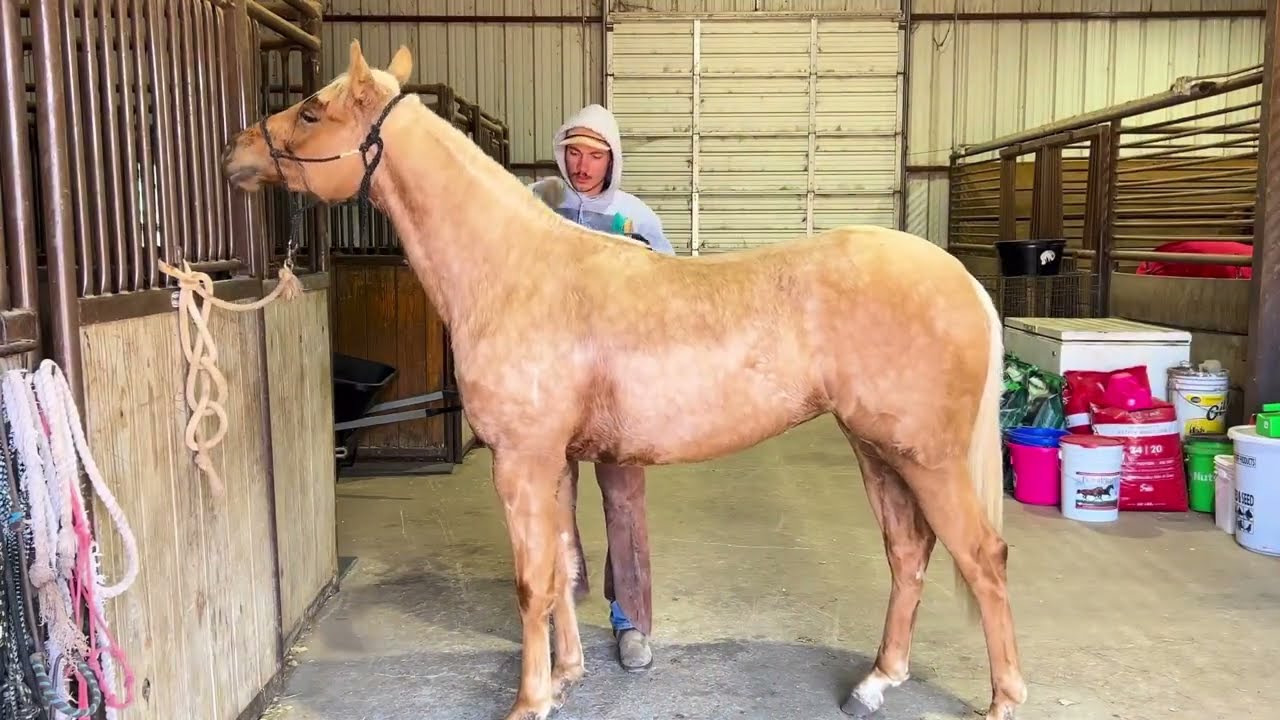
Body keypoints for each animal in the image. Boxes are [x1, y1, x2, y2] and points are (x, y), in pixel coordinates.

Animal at [220, 40, 1027, 720]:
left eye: (310, 109)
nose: (235, 153)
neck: (511, 270)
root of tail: (959, 279)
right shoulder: (553, 463)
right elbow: (563, 571)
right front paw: (567, 677)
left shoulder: (520, 463)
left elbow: (531, 582)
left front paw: (528, 702)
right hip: (877, 450)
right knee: (909, 554)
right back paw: (876, 681)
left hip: (929, 459)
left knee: (983, 560)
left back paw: (1002, 699)